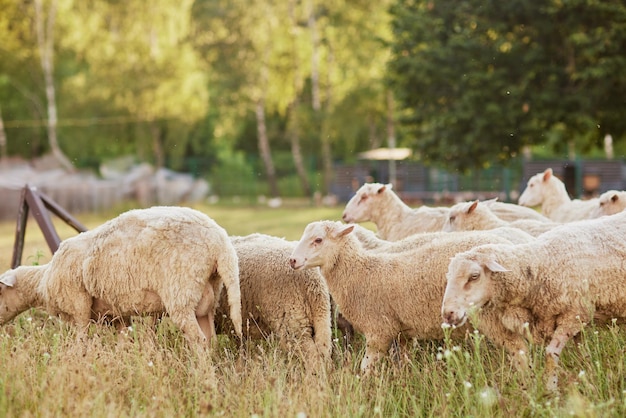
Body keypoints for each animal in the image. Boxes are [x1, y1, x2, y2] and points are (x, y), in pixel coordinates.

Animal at [0, 207, 241, 350]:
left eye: (0, 292)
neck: (42, 280)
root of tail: (219, 242)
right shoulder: (117, 314)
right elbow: (124, 340)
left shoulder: (79, 304)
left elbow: (81, 336)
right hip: (206, 297)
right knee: (210, 341)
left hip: (181, 292)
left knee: (198, 340)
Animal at [288, 220, 536, 374]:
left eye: (318, 240)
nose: (292, 260)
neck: (361, 272)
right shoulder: (403, 333)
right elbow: (404, 362)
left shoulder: (379, 330)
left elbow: (365, 368)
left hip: (492, 316)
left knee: (519, 349)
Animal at [438, 212, 624, 392]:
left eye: (474, 276)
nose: (448, 314)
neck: (540, 264)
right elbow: (578, 353)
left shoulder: (573, 315)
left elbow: (551, 354)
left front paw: (551, 390)